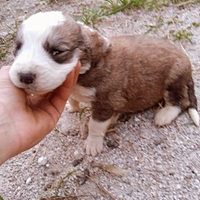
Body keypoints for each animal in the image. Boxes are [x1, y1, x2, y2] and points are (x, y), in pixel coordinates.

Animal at [10, 11, 199, 156]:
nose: (24, 76)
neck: (86, 71)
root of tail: (187, 63)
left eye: (57, 51)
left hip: (173, 79)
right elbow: (73, 98)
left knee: (180, 101)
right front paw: (73, 107)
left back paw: (164, 115)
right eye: (18, 48)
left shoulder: (105, 102)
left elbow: (95, 125)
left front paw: (92, 144)